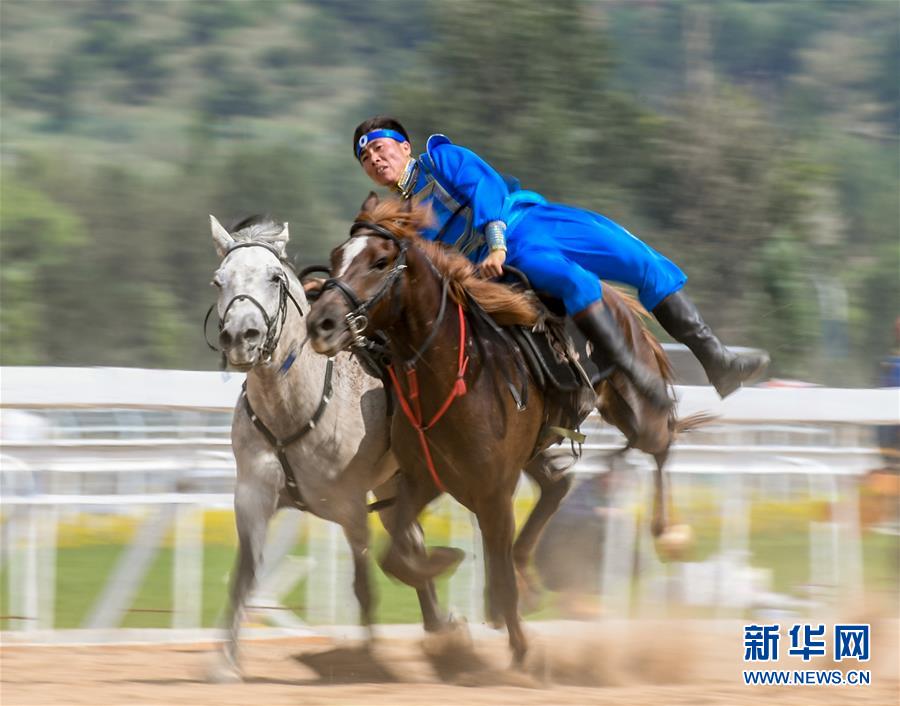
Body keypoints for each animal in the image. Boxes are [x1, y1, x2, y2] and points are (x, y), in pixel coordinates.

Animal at [206, 213, 448, 676]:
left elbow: (364, 587)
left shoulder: (351, 508)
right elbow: (243, 578)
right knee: (413, 543)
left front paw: (369, 660)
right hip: (392, 485)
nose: (242, 336)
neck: (290, 408)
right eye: (218, 280)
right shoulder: (253, 498)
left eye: (275, 277)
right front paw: (225, 663)